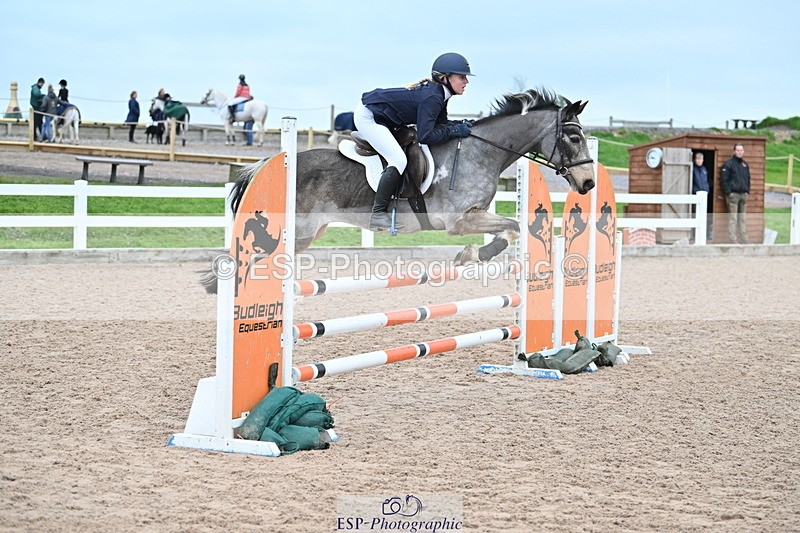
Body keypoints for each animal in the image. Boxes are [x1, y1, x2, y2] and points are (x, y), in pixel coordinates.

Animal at [202, 89, 594, 293]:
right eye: (574, 137)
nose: (588, 183)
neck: (480, 151)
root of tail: (272, 163)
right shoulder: (459, 221)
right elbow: (509, 229)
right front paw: (471, 254)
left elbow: (511, 230)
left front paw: (473, 255)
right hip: (295, 233)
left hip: (306, 235)